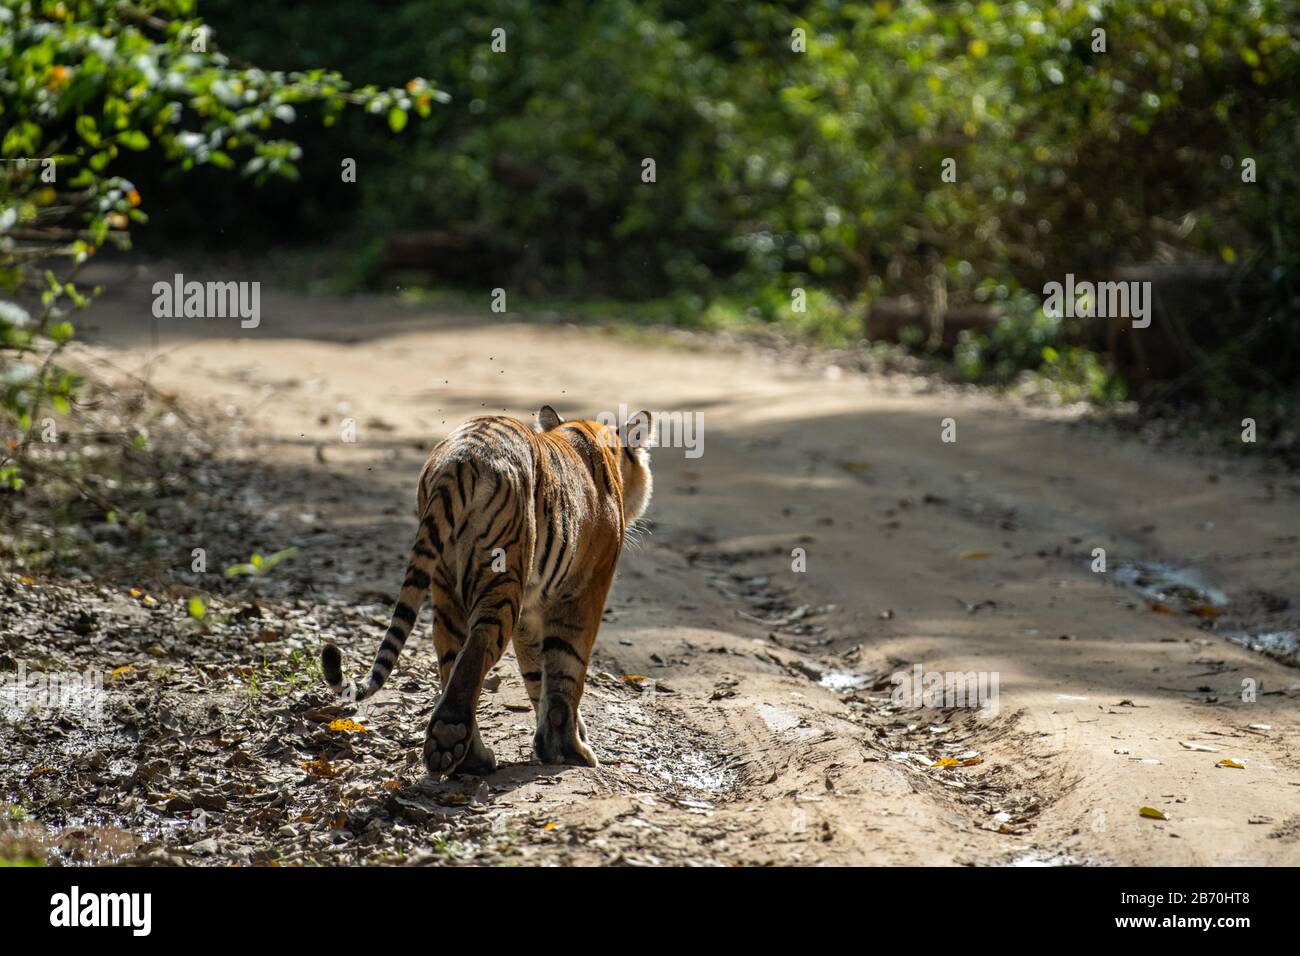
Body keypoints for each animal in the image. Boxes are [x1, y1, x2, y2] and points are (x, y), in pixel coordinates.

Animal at [321, 403, 655, 780]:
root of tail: (460, 457)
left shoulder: (532, 609)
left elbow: (536, 674)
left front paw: (551, 743)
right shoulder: (582, 590)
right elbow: (566, 668)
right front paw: (569, 750)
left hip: (446, 585)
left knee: (450, 658)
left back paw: (469, 757)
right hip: (503, 574)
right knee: (477, 648)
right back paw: (452, 738)